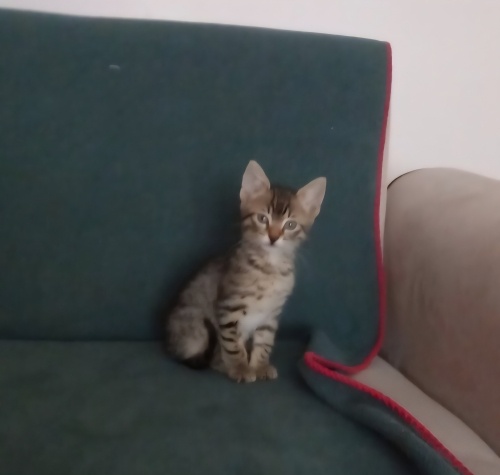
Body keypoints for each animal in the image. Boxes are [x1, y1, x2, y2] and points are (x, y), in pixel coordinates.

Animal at [165, 160, 326, 383]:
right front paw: (240, 368)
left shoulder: (270, 315)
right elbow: (233, 345)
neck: (269, 268)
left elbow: (264, 343)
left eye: (290, 225)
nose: (273, 237)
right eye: (262, 219)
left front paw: (259, 366)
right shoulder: (228, 309)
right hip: (194, 325)